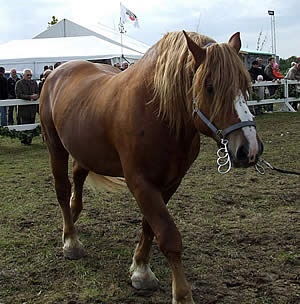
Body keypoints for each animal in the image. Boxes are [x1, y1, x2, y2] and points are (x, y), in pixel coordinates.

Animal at [39, 31, 262, 304]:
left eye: (245, 85)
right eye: (209, 87)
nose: (249, 149)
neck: (158, 113)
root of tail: (56, 72)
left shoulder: (169, 183)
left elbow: (150, 227)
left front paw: (140, 269)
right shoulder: (141, 183)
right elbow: (168, 235)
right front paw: (180, 293)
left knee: (78, 176)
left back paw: (73, 215)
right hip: (55, 145)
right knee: (62, 188)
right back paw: (71, 241)